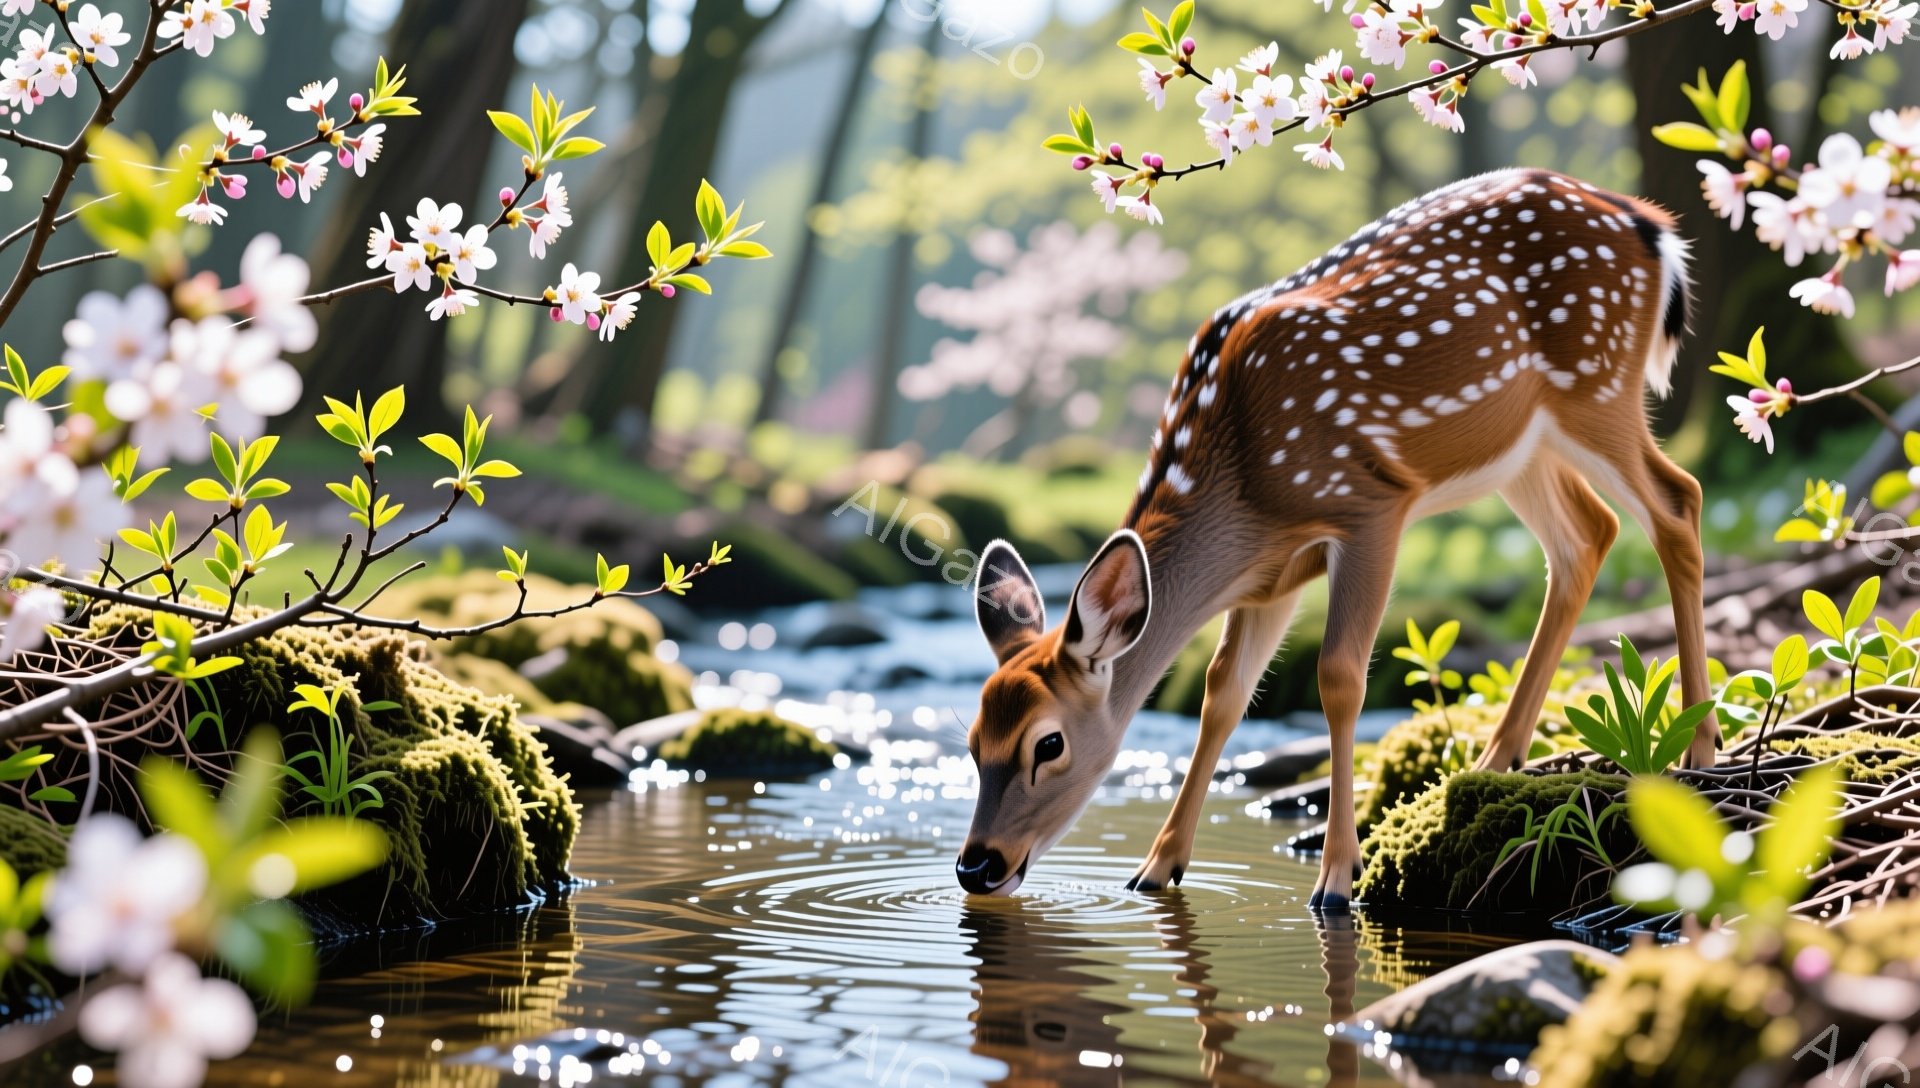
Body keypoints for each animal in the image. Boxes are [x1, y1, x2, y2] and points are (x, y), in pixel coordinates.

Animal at [953, 168, 1714, 912]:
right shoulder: (1270, 576)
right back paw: (1499, 755)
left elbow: (1340, 677)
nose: (976, 865)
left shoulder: (1370, 505)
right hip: (1520, 449)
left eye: (1047, 743)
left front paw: (1337, 880)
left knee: (1678, 501)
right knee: (1589, 534)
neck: (1242, 485)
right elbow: (1223, 691)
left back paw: (1699, 748)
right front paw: (1156, 867)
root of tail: (1651, 227)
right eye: (972, 740)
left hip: (1596, 384)